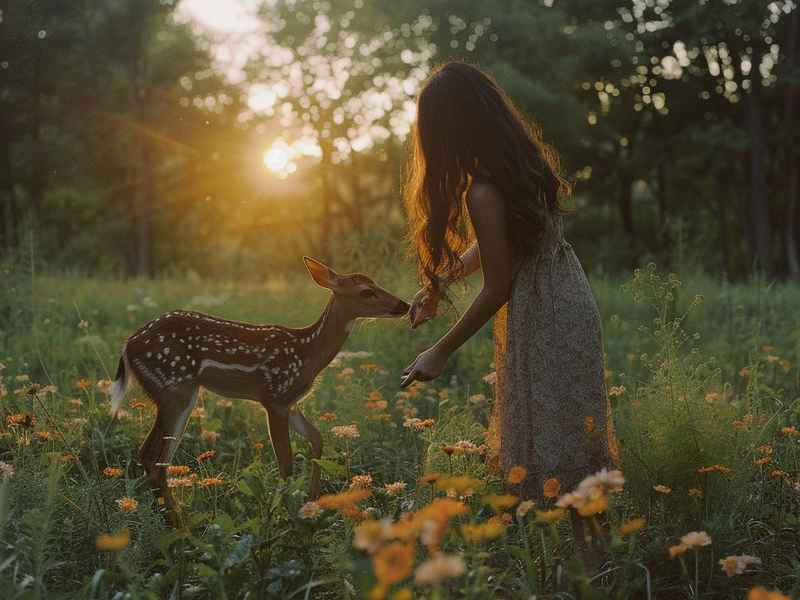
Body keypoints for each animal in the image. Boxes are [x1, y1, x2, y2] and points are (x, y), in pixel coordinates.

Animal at [109, 257, 409, 521]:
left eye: (377, 283)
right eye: (367, 291)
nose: (404, 305)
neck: (308, 353)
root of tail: (127, 347)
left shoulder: (291, 400)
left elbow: (317, 439)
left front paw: (313, 502)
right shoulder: (274, 396)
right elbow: (286, 462)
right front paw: (284, 517)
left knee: (150, 457)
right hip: (175, 389)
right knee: (156, 459)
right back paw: (180, 525)